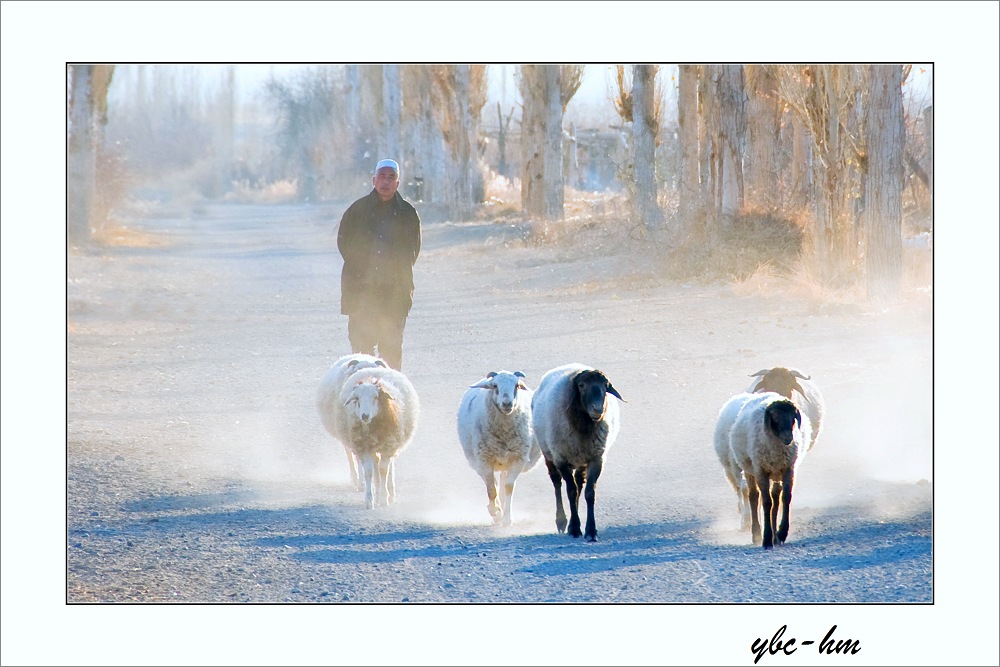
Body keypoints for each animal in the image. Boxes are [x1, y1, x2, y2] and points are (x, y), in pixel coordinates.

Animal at [336, 362, 414, 508]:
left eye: (376, 397)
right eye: (357, 399)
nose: (364, 416)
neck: (372, 428)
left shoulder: (388, 447)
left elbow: (383, 471)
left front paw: (383, 498)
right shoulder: (364, 448)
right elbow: (369, 472)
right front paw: (369, 500)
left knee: (387, 468)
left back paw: (389, 492)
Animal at [458, 370, 544, 528]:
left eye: (517, 386)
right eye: (494, 385)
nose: (507, 403)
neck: (503, 432)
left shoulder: (518, 458)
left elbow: (509, 487)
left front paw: (507, 519)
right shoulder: (484, 460)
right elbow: (491, 489)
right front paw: (495, 512)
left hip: (506, 461)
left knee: (502, 482)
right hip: (479, 461)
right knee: (493, 483)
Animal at [536, 366, 620, 544]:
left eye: (606, 385)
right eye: (581, 385)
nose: (597, 409)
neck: (584, 426)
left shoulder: (596, 458)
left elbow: (589, 493)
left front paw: (590, 531)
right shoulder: (562, 459)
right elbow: (570, 491)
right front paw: (574, 528)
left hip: (581, 460)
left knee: (579, 483)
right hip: (549, 455)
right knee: (557, 484)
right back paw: (562, 522)